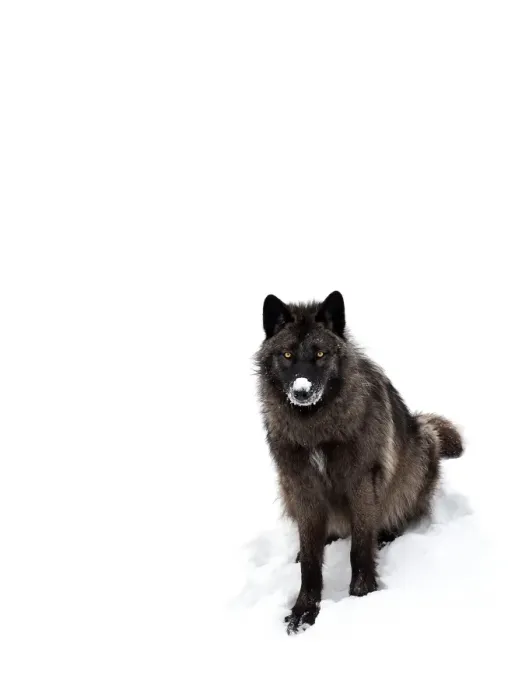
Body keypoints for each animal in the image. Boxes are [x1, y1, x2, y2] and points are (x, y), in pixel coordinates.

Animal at [256, 291, 463, 634]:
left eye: (320, 353)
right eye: (286, 354)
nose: (301, 391)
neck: (316, 431)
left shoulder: (362, 483)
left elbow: (360, 546)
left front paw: (362, 595)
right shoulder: (302, 488)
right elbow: (311, 562)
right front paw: (304, 610)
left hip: (422, 447)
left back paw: (388, 534)